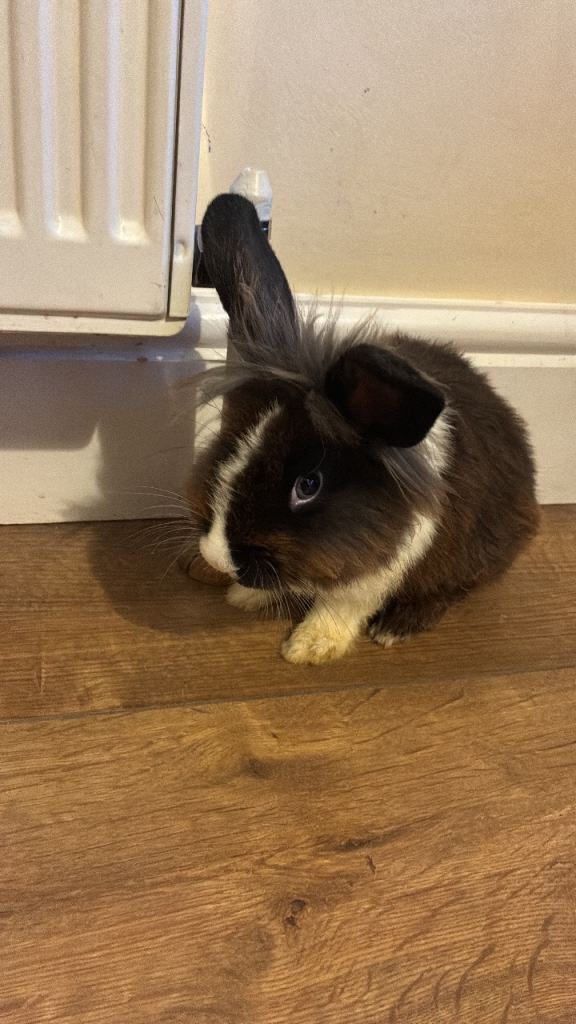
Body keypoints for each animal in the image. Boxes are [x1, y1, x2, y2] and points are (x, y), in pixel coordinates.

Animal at [186, 193, 539, 665]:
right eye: (230, 442)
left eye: (308, 485)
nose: (217, 558)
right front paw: (245, 597)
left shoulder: (378, 569)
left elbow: (341, 604)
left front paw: (307, 648)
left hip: (474, 553)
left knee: (452, 590)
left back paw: (396, 627)